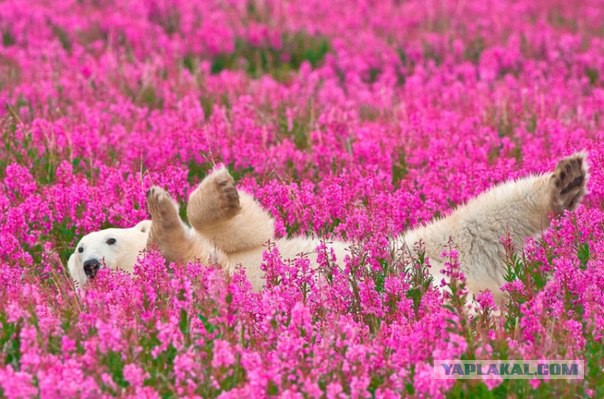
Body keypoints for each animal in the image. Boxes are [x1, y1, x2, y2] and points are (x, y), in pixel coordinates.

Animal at [67, 152, 588, 304]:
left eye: (105, 238)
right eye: (78, 251)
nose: (91, 264)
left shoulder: (237, 249)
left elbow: (251, 230)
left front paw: (212, 190)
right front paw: (162, 215)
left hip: (424, 246)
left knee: (484, 215)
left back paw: (565, 180)